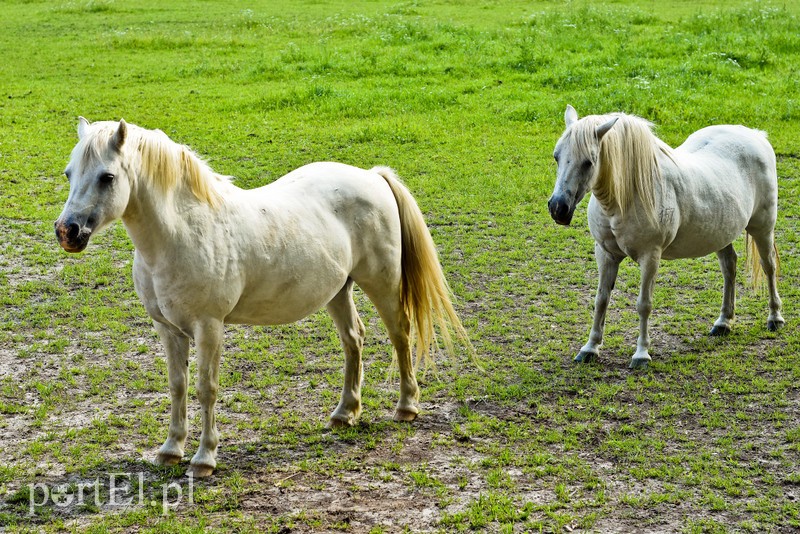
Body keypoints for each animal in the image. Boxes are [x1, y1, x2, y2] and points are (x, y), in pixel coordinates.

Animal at [56, 119, 472, 480]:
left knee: (400, 335)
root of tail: (372, 176)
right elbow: (177, 386)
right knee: (354, 339)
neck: (183, 232)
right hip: (338, 290)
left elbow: (206, 388)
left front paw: (204, 458)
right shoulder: (168, 329)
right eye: (69, 174)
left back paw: (407, 406)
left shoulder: (209, 328)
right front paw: (171, 450)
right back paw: (344, 413)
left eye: (107, 177)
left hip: (382, 284)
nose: (67, 231)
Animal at [548, 107, 784, 370]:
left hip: (763, 228)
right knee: (729, 268)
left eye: (588, 162)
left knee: (768, 267)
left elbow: (644, 304)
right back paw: (723, 322)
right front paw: (590, 348)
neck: (626, 196)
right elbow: (601, 300)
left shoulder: (650, 256)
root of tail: (756, 135)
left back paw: (775, 318)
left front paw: (641, 354)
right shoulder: (605, 253)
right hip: (722, 233)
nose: (558, 208)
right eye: (557, 156)